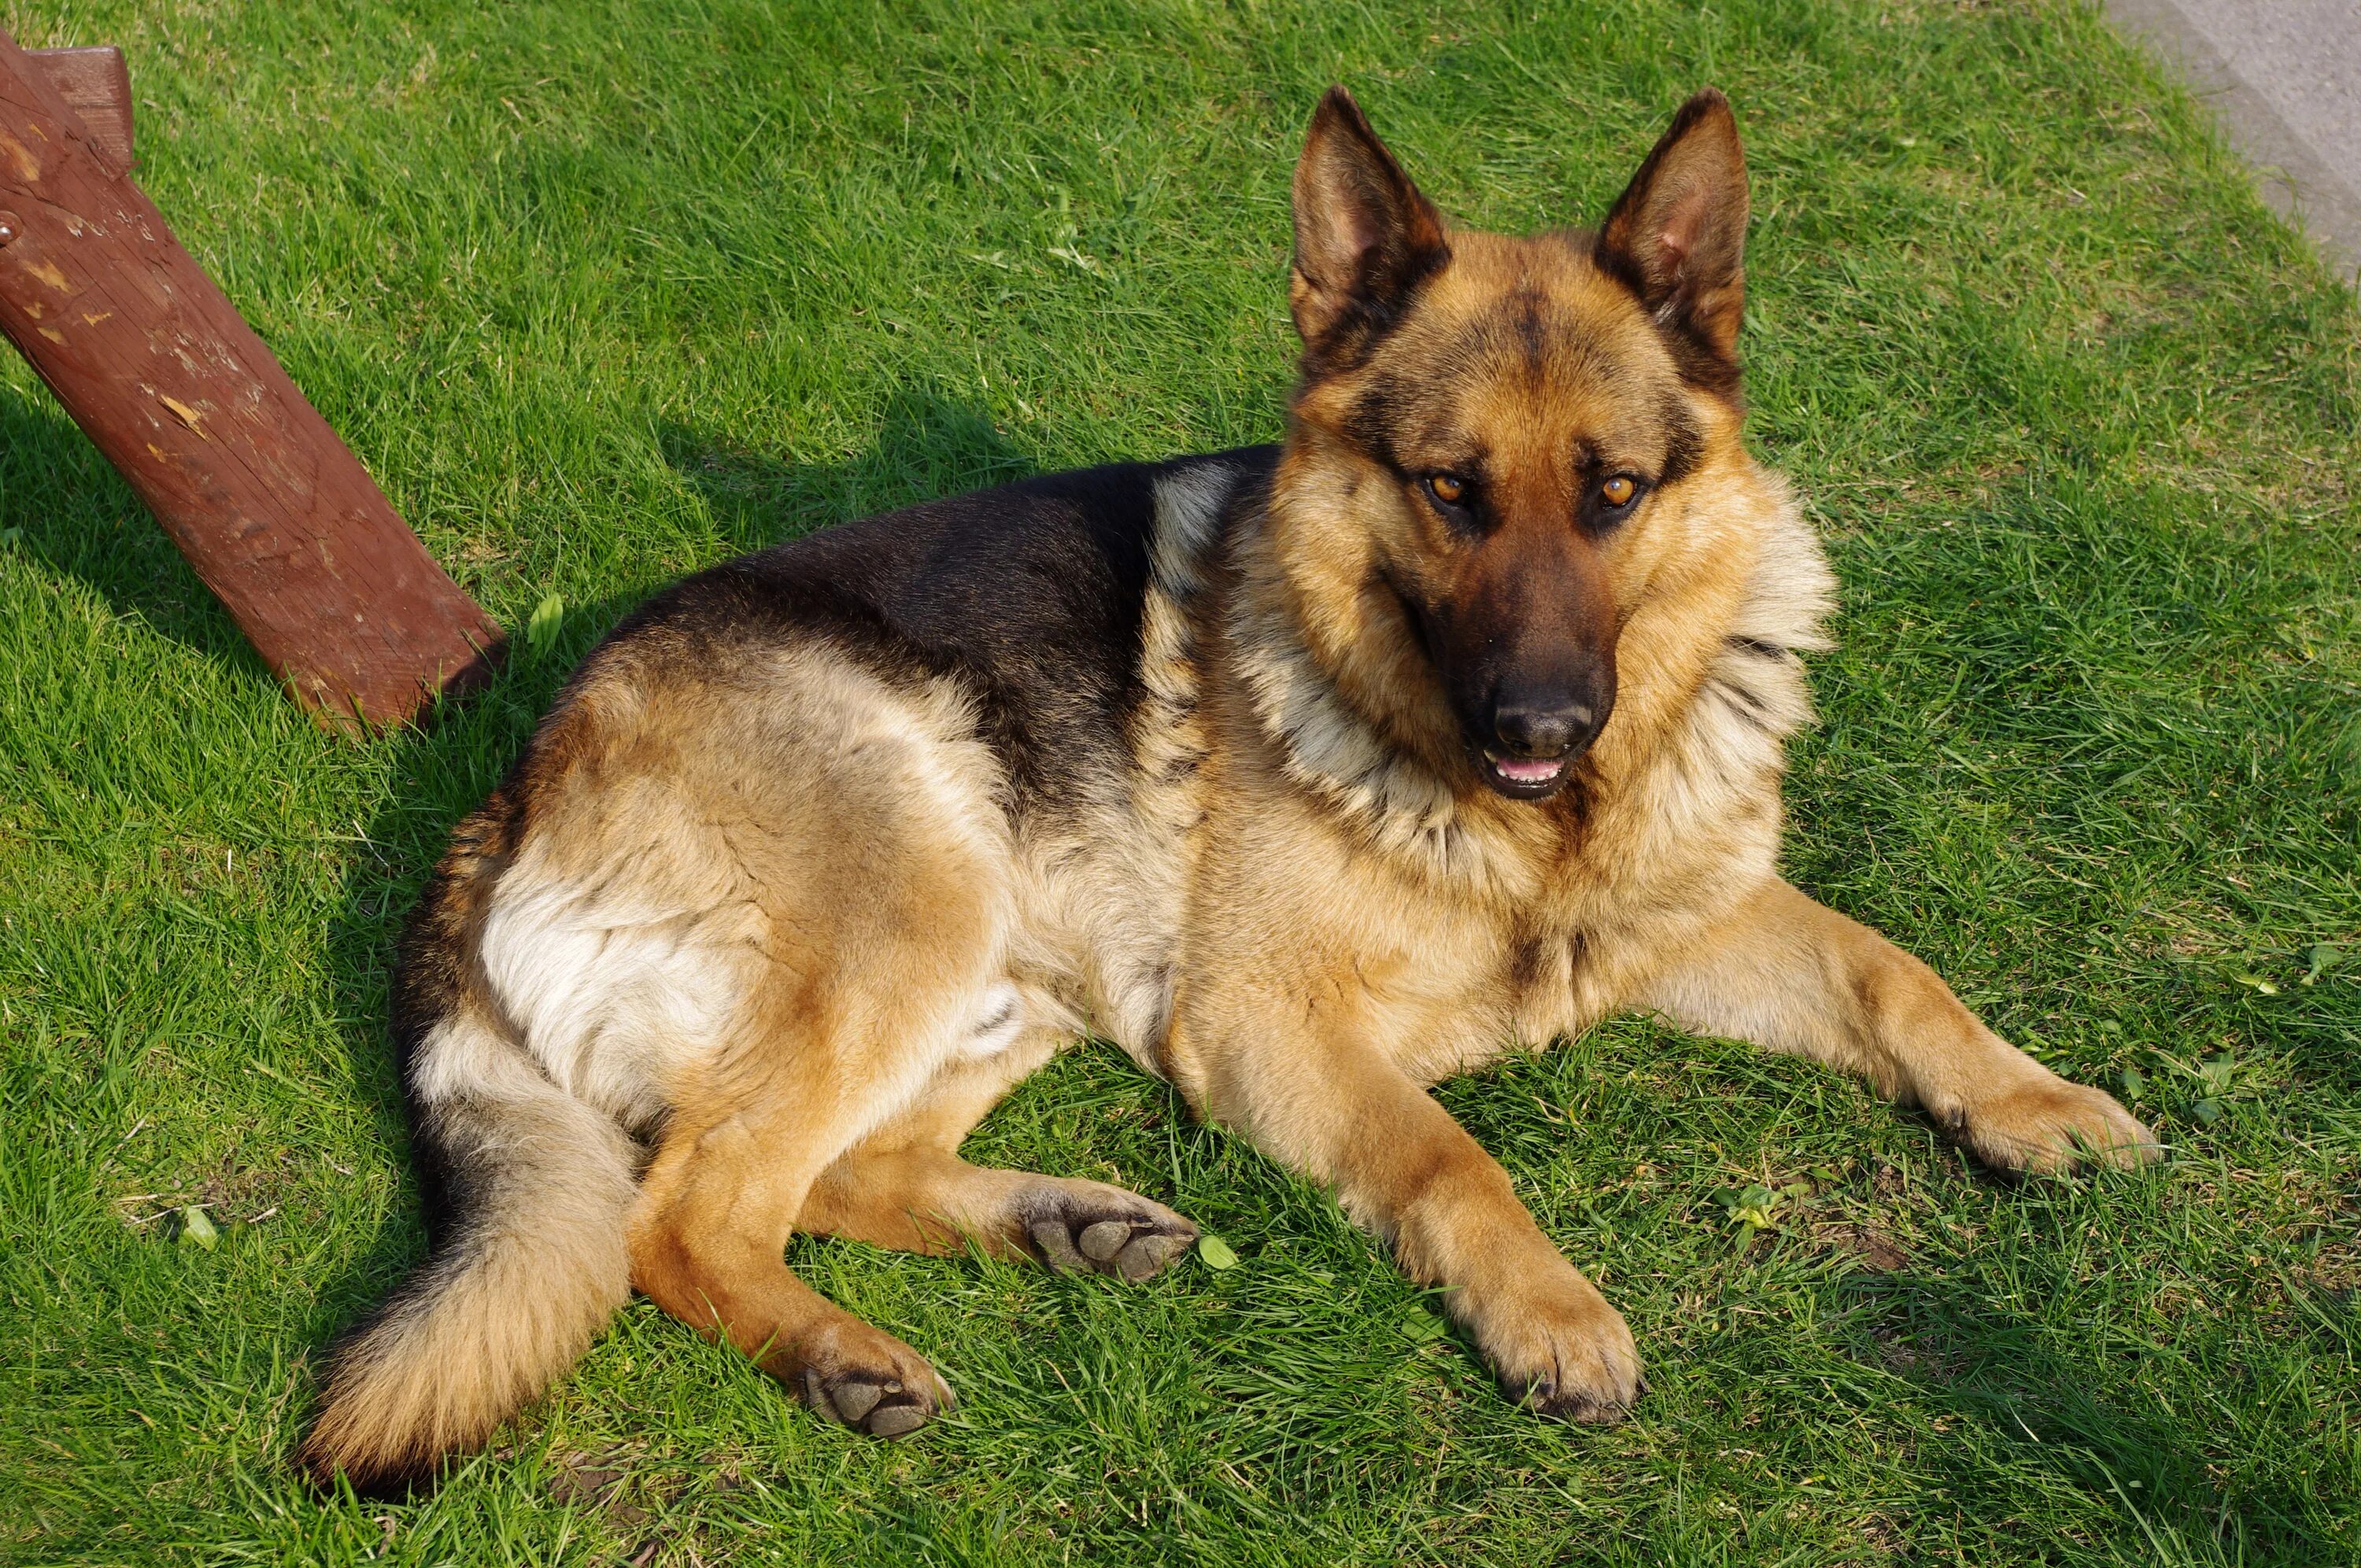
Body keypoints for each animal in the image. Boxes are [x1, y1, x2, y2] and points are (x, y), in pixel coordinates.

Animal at [300, 88, 2163, 1492]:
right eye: (1450, 489)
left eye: (1616, 492)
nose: (1547, 721)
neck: (1534, 828)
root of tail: (512, 788)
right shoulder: (1271, 1019)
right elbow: (1447, 1154)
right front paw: (1553, 1310)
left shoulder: (1692, 915)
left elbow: (1894, 971)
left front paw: (2037, 1102)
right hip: (927, 893)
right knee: (678, 1215)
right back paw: (845, 1354)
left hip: (1007, 981)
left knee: (813, 1174)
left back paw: (1064, 1226)